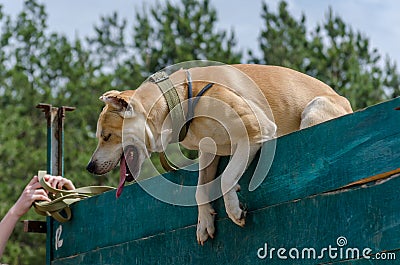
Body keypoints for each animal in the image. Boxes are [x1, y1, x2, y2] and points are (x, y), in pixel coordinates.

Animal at [86, 63, 352, 243]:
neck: (178, 101)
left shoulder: (257, 130)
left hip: (314, 109)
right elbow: (200, 190)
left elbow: (226, 178)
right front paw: (204, 222)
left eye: (106, 136)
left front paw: (234, 209)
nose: (90, 167)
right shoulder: (208, 151)